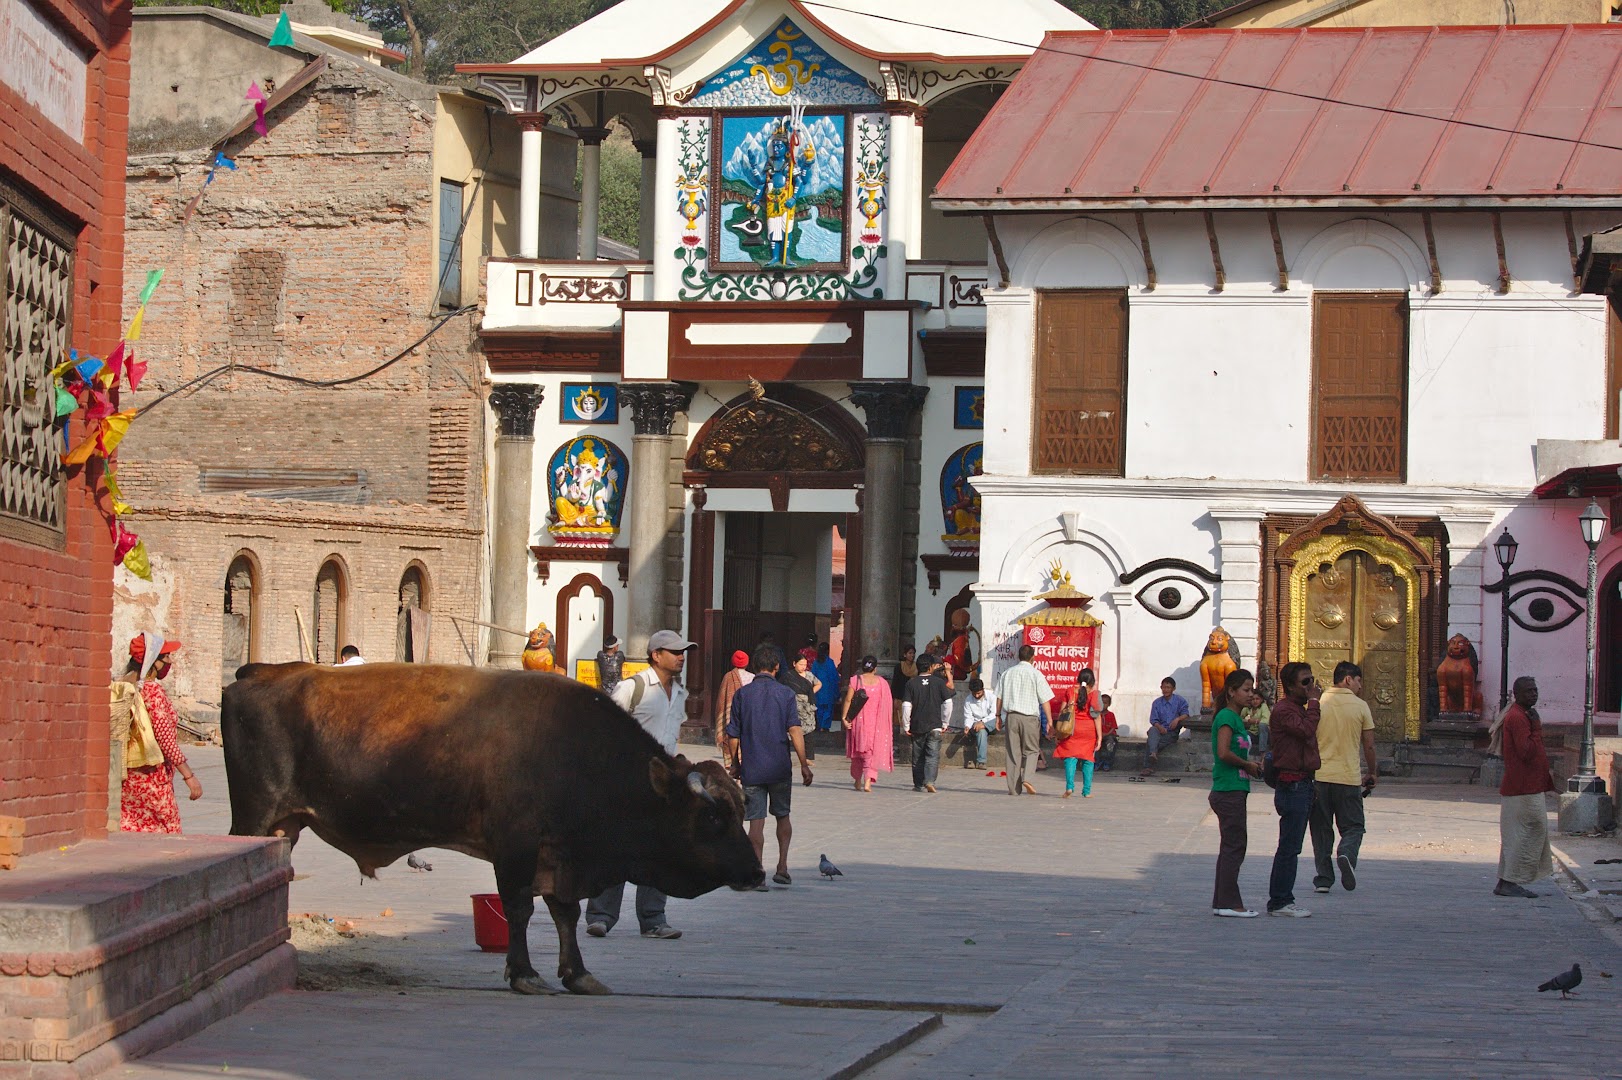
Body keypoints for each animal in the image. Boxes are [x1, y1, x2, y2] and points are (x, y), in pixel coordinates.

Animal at [220, 661, 765, 998]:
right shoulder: (516, 848)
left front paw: (577, 974)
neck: (575, 751)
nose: (757, 873)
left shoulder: (560, 856)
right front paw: (524, 974)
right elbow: (521, 909)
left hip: (286, 826)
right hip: (255, 816)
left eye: (740, 807)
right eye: (711, 817)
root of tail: (259, 672)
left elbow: (565, 914)